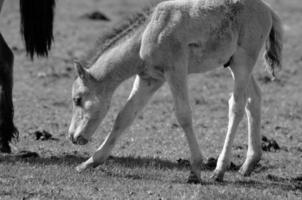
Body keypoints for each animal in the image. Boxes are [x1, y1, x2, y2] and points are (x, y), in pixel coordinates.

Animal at [67, 0, 282, 182]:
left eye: (77, 99)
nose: (72, 137)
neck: (147, 33)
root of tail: (267, 8)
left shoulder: (175, 71)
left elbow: (183, 115)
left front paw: (195, 170)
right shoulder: (149, 79)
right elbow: (124, 116)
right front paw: (89, 162)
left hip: (242, 62)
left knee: (236, 106)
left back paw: (220, 170)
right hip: (233, 64)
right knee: (254, 99)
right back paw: (248, 164)